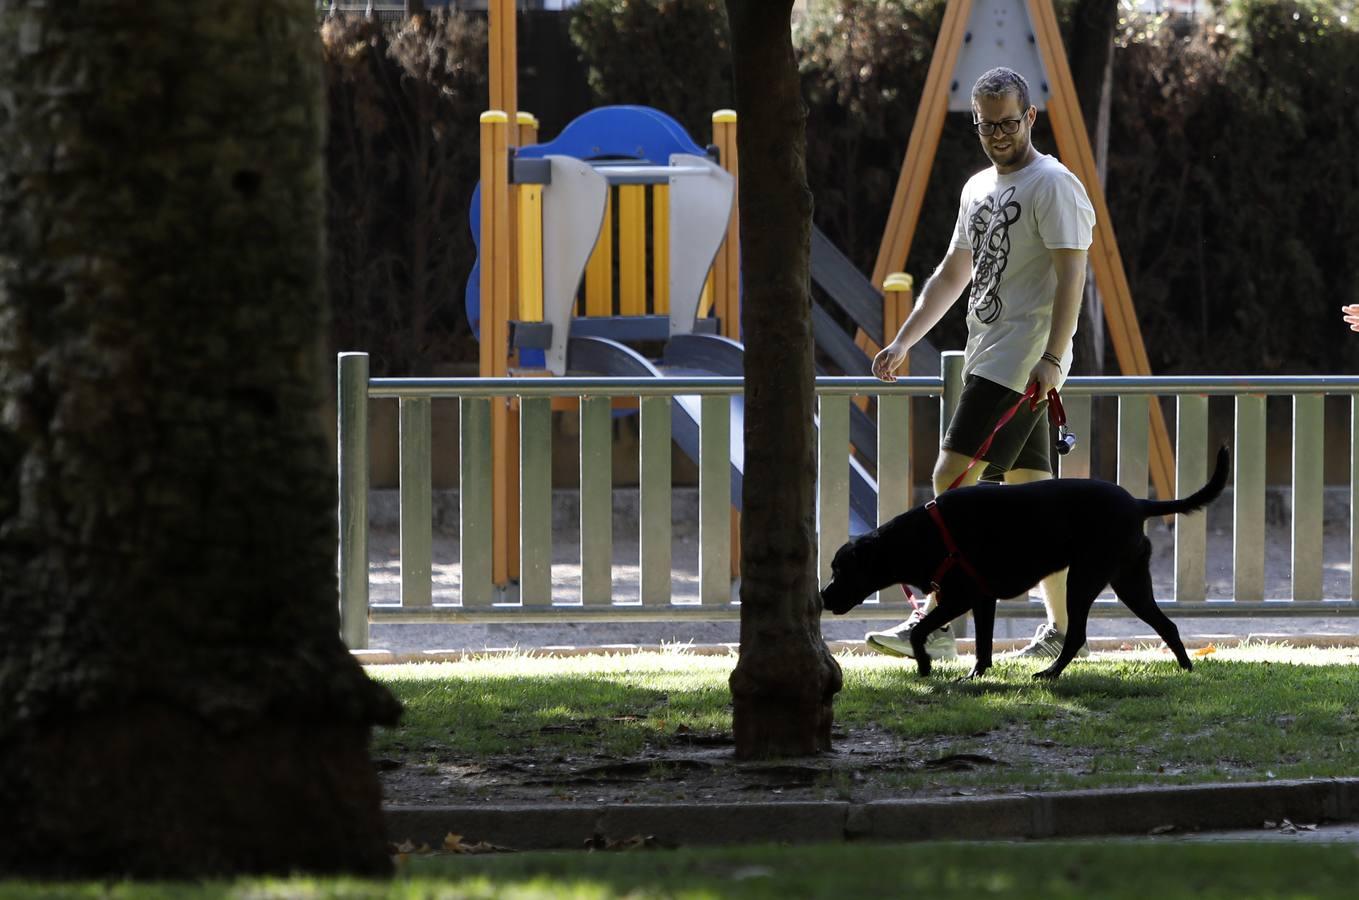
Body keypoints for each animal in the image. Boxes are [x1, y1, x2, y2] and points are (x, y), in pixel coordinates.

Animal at [815, 448, 1233, 679]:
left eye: (839, 571)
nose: (822, 598)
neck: (921, 535)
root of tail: (1138, 504)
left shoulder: (958, 597)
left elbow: (919, 632)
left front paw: (925, 668)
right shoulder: (982, 600)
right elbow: (983, 645)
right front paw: (975, 675)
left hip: (1083, 580)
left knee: (1077, 636)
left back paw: (1049, 674)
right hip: (1130, 583)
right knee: (1168, 625)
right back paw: (1186, 669)